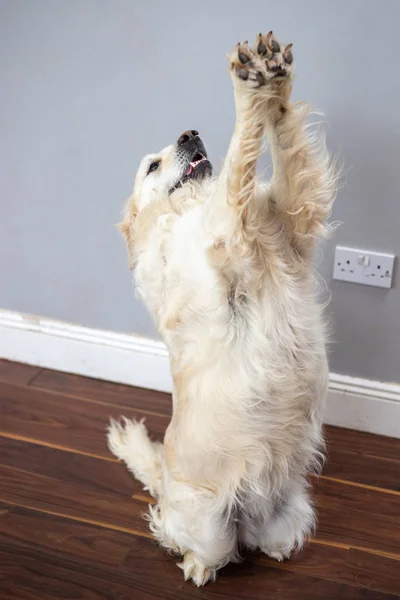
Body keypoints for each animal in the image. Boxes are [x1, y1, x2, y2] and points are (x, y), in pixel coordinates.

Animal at [107, 31, 338, 584]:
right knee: (196, 545)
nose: (190, 132)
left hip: (292, 513)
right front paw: (248, 88)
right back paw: (193, 562)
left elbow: (284, 142)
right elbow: (238, 159)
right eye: (152, 165)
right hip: (208, 525)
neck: (181, 211)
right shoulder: (222, 233)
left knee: (269, 541)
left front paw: (273, 74)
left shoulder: (295, 216)